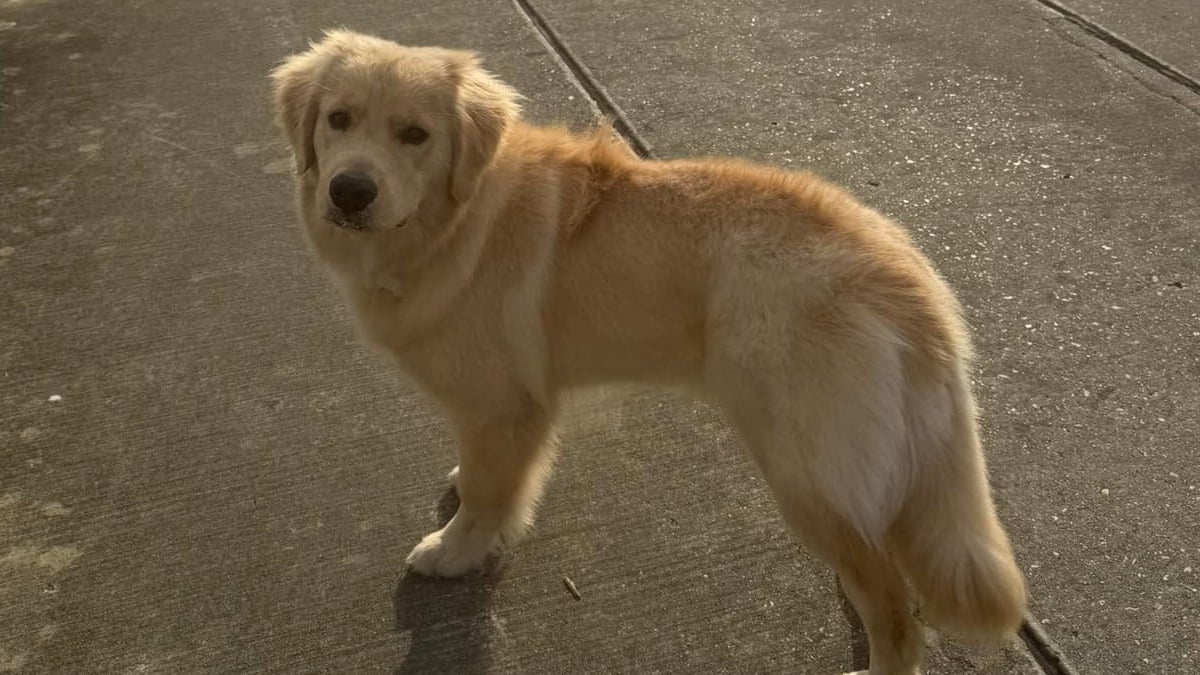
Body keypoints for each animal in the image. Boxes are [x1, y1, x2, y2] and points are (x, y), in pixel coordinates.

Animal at [274, 30, 1032, 672]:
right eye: (338, 119)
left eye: (415, 135)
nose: (349, 190)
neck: (458, 220)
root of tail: (901, 268)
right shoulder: (503, 413)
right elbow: (489, 478)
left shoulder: (504, 406)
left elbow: (491, 496)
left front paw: (454, 551)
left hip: (801, 466)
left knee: (896, 609)